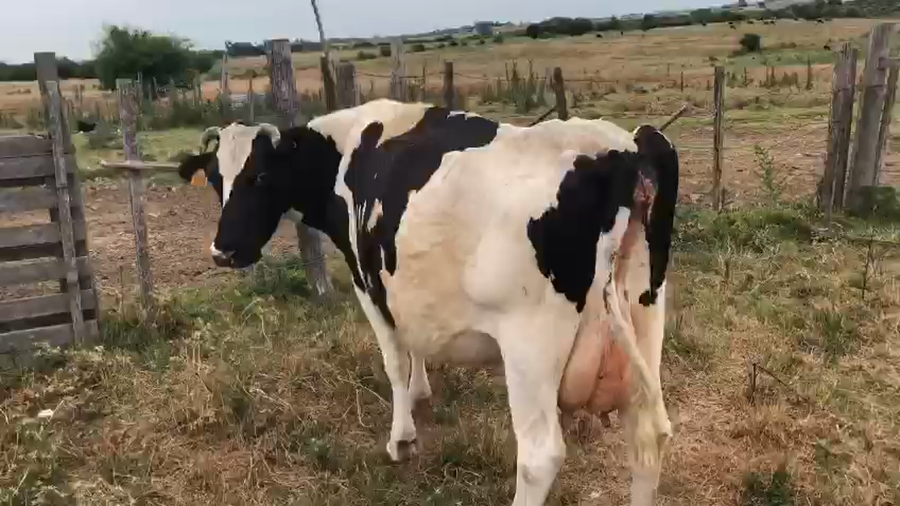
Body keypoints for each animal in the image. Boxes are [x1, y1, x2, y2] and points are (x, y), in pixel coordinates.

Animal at [194, 99, 679, 505]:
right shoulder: (404, 287)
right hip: (646, 311)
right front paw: (420, 390)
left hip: (531, 345)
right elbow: (416, 343)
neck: (348, 149)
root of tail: (620, 148)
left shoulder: (368, 283)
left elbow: (393, 359)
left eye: (259, 177)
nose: (222, 250)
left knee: (540, 457)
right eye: (216, 180)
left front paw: (401, 438)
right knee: (649, 437)